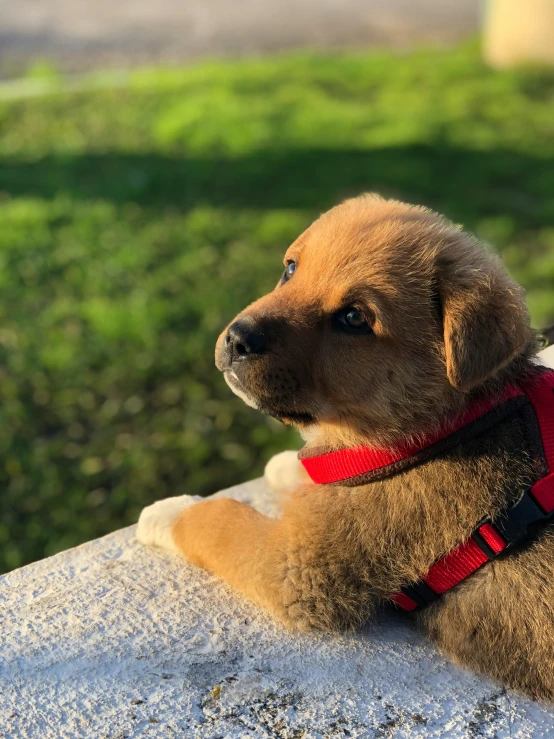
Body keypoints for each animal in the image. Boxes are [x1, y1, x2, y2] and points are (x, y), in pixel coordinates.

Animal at [137, 195, 552, 700]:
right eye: (290, 269)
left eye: (354, 318)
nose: (236, 338)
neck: (448, 423)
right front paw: (288, 468)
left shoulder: (299, 570)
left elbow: (217, 520)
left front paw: (167, 511)